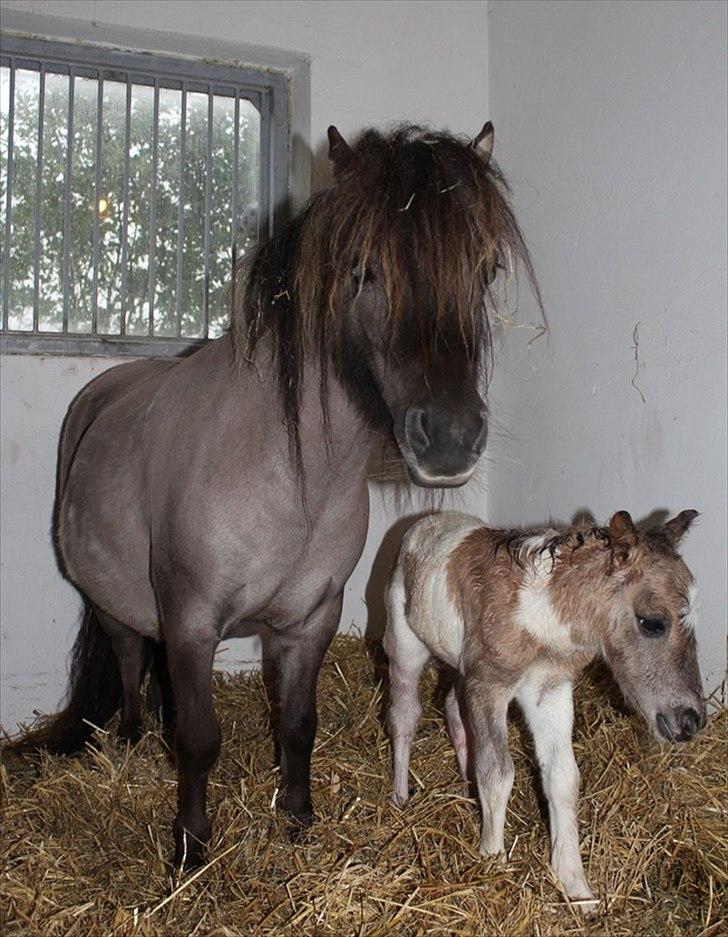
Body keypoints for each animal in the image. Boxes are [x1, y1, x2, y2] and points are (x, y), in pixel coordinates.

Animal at [7, 120, 540, 868]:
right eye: (363, 268)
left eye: (486, 269)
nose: (450, 438)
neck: (291, 479)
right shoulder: (193, 619)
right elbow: (200, 738)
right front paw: (190, 847)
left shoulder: (309, 620)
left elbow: (295, 723)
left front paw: (297, 817)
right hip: (113, 599)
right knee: (128, 652)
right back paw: (132, 739)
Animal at [384, 508, 708, 912]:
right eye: (651, 622)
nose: (690, 721)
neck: (540, 616)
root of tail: (424, 522)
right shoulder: (489, 685)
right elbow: (497, 772)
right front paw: (493, 863)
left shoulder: (549, 690)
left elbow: (563, 777)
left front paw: (576, 887)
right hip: (405, 645)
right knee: (404, 715)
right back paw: (400, 797)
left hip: (459, 666)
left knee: (453, 711)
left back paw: (464, 785)